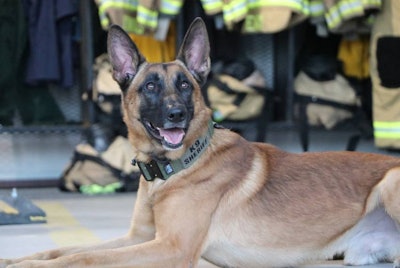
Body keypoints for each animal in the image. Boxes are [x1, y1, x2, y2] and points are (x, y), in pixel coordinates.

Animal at [2, 17, 400, 266]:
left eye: (184, 85)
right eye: (150, 87)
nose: (176, 114)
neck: (174, 168)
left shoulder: (171, 247)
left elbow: (85, 256)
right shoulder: (140, 237)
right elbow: (67, 249)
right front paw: (18, 259)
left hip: (392, 182)